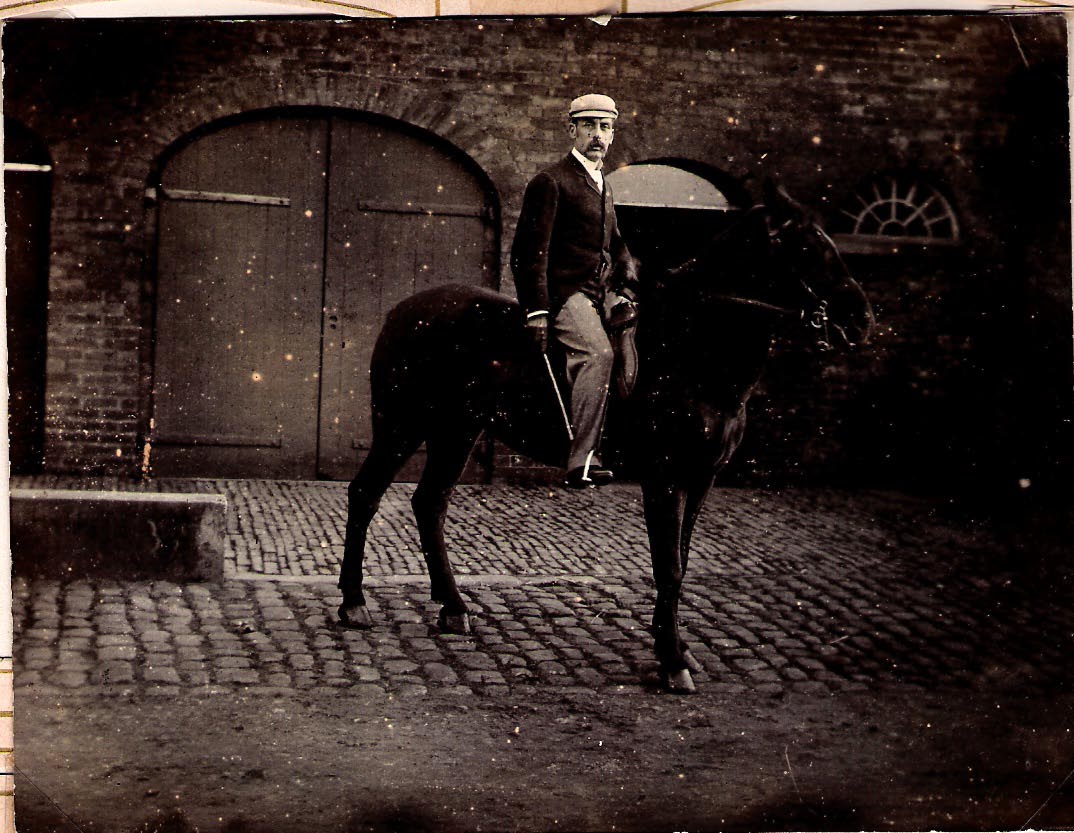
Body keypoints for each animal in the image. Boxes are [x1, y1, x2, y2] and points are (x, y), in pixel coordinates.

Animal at [339, 185, 876, 691]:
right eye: (805, 246)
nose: (862, 318)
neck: (692, 351)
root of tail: (404, 309)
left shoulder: (702, 477)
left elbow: (681, 559)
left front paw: (673, 644)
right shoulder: (664, 477)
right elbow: (669, 565)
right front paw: (673, 661)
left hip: (459, 429)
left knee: (430, 503)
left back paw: (452, 607)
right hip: (402, 423)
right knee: (366, 494)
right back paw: (353, 602)